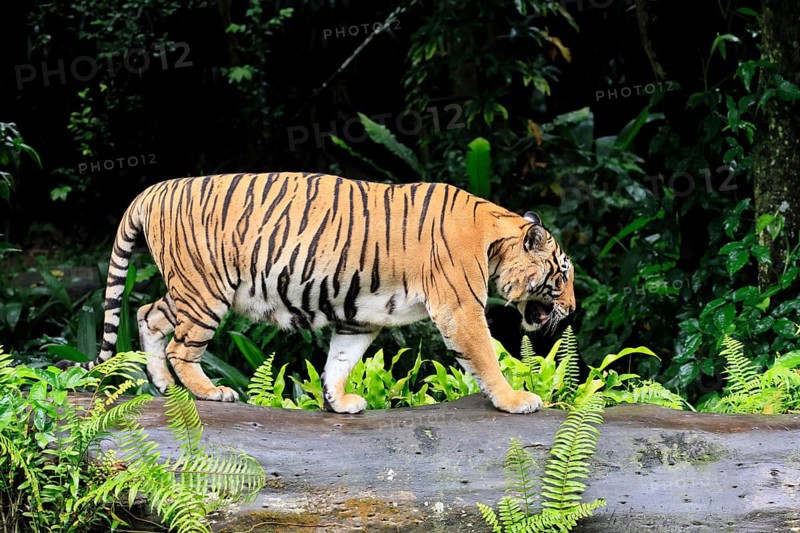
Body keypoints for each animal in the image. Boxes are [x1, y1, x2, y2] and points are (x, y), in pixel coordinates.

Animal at [69, 172, 575, 414]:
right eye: (563, 273)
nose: (571, 311)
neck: (495, 240)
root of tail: (153, 190)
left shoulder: (362, 314)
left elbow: (340, 361)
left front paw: (338, 402)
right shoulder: (460, 309)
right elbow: (486, 357)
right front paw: (516, 401)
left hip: (186, 290)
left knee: (146, 312)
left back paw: (161, 384)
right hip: (205, 291)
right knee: (180, 345)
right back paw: (211, 392)